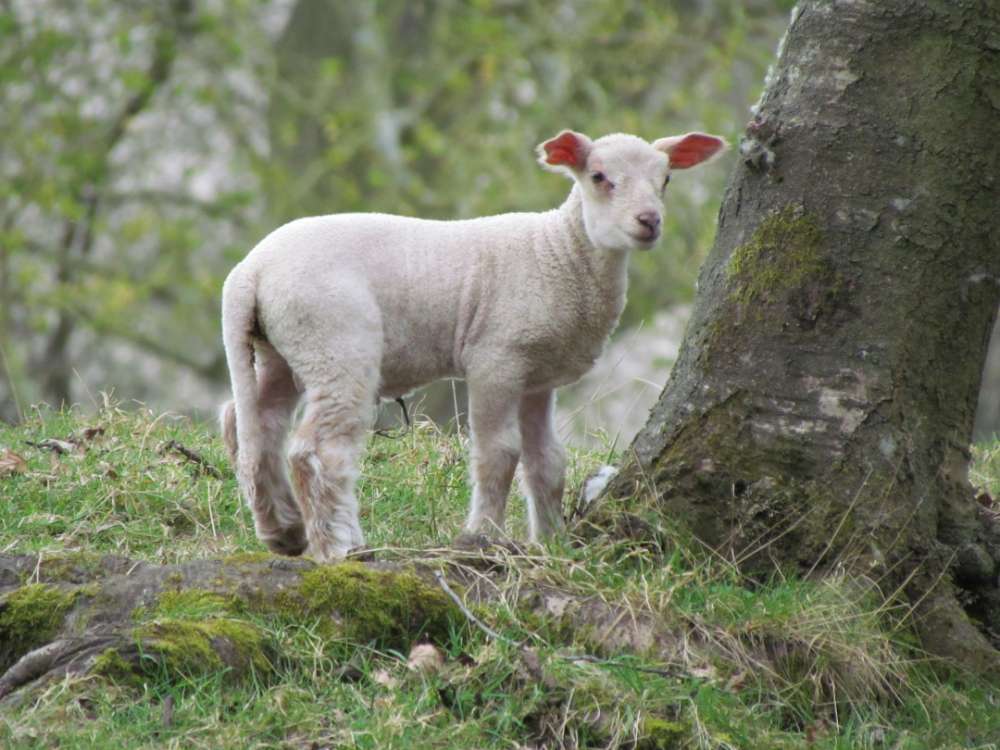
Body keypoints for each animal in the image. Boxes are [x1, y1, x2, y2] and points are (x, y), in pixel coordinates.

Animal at [219, 131, 728, 564]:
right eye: (600, 177)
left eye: (666, 179)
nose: (649, 222)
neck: (559, 253)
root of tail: (250, 270)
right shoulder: (496, 360)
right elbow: (498, 453)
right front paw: (483, 537)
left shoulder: (537, 377)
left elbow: (548, 461)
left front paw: (551, 543)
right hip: (335, 342)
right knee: (316, 451)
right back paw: (340, 547)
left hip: (283, 348)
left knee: (252, 425)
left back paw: (284, 531)